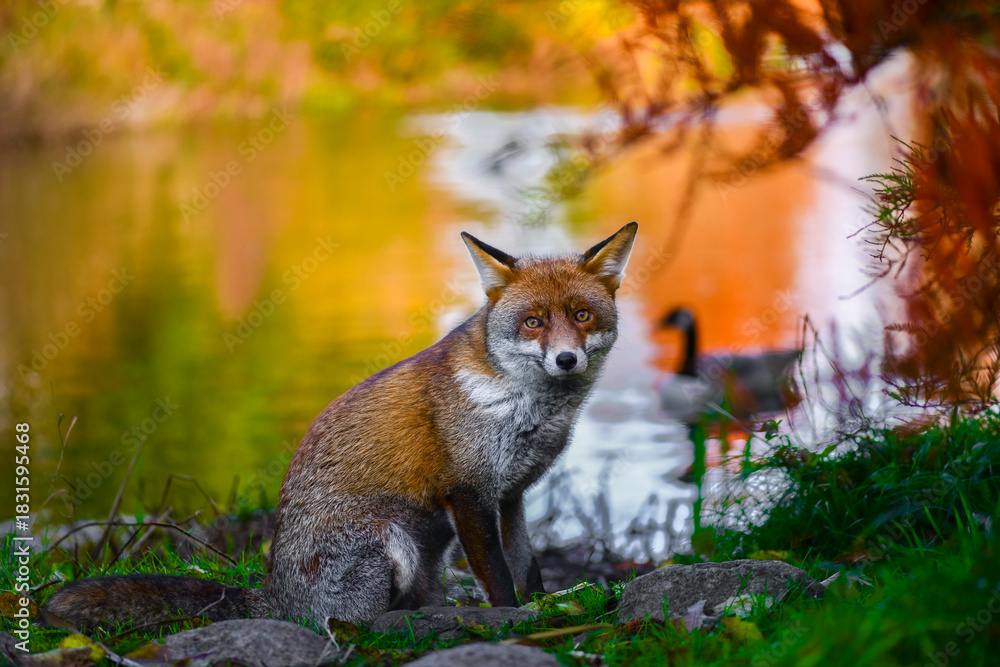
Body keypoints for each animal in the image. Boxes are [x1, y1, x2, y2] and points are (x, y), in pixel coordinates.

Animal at [43, 222, 638, 628]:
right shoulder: (469, 493)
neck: (524, 409)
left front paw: (543, 609)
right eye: (533, 322)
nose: (566, 359)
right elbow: (498, 577)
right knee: (346, 621)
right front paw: (512, 621)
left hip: (431, 550)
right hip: (391, 542)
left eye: (581, 316)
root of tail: (276, 596)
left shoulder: (510, 495)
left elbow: (526, 567)